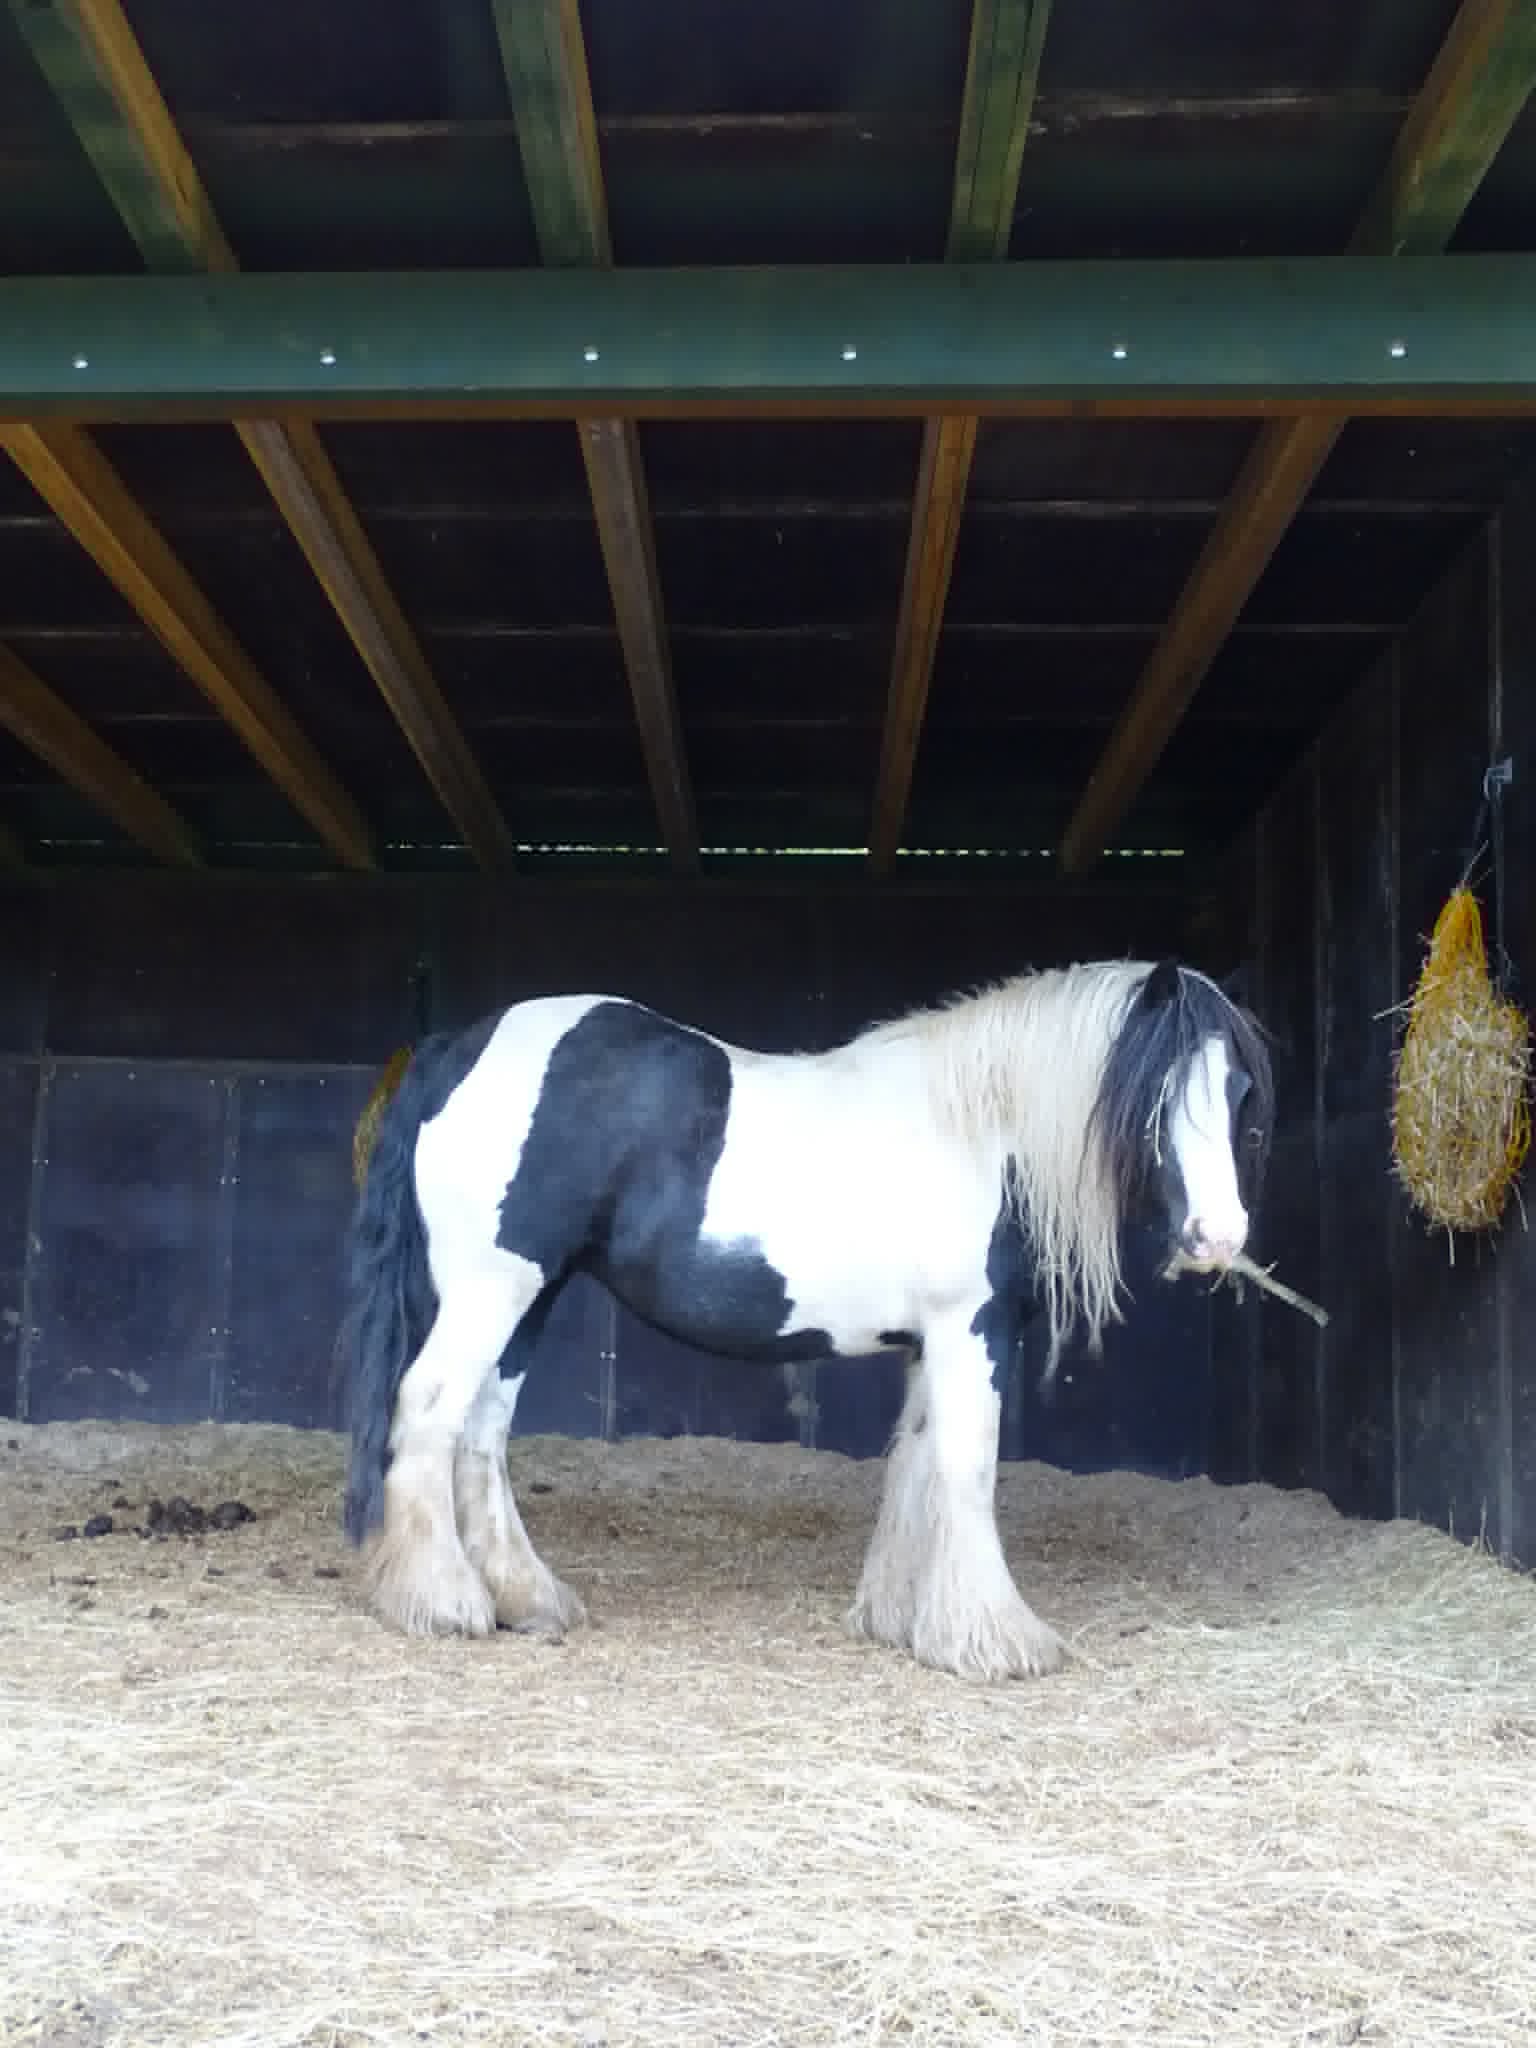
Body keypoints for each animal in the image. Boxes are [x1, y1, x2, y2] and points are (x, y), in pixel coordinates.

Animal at [338, 957, 1273, 1681]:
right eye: (1155, 1093)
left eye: (1235, 1090)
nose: (1218, 1237)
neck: (979, 1130)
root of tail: (459, 1048)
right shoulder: (971, 1329)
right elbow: (967, 1470)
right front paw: (994, 1641)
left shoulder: (930, 1343)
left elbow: (916, 1466)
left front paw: (902, 1619)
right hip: (494, 1287)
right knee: (430, 1406)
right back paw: (440, 1600)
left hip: (528, 1296)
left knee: (482, 1433)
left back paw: (526, 1598)